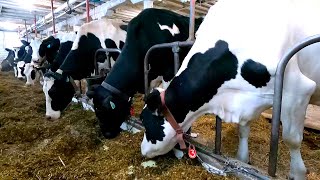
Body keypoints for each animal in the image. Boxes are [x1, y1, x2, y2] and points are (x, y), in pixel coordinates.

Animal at [139, 0, 320, 179]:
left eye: (145, 122)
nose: (142, 150)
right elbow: (243, 129)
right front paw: (242, 159)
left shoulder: (297, 90)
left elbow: (292, 139)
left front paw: (298, 173)